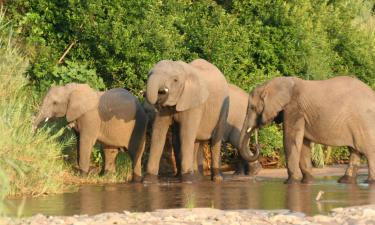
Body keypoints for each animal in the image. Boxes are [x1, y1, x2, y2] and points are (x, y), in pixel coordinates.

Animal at [241, 76, 375, 184]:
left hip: (365, 122)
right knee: (355, 150)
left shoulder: (294, 109)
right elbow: (303, 144)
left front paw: (290, 182)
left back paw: (369, 182)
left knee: (369, 151)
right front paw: (308, 182)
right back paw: (345, 181)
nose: (257, 146)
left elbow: (290, 140)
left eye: (252, 107)